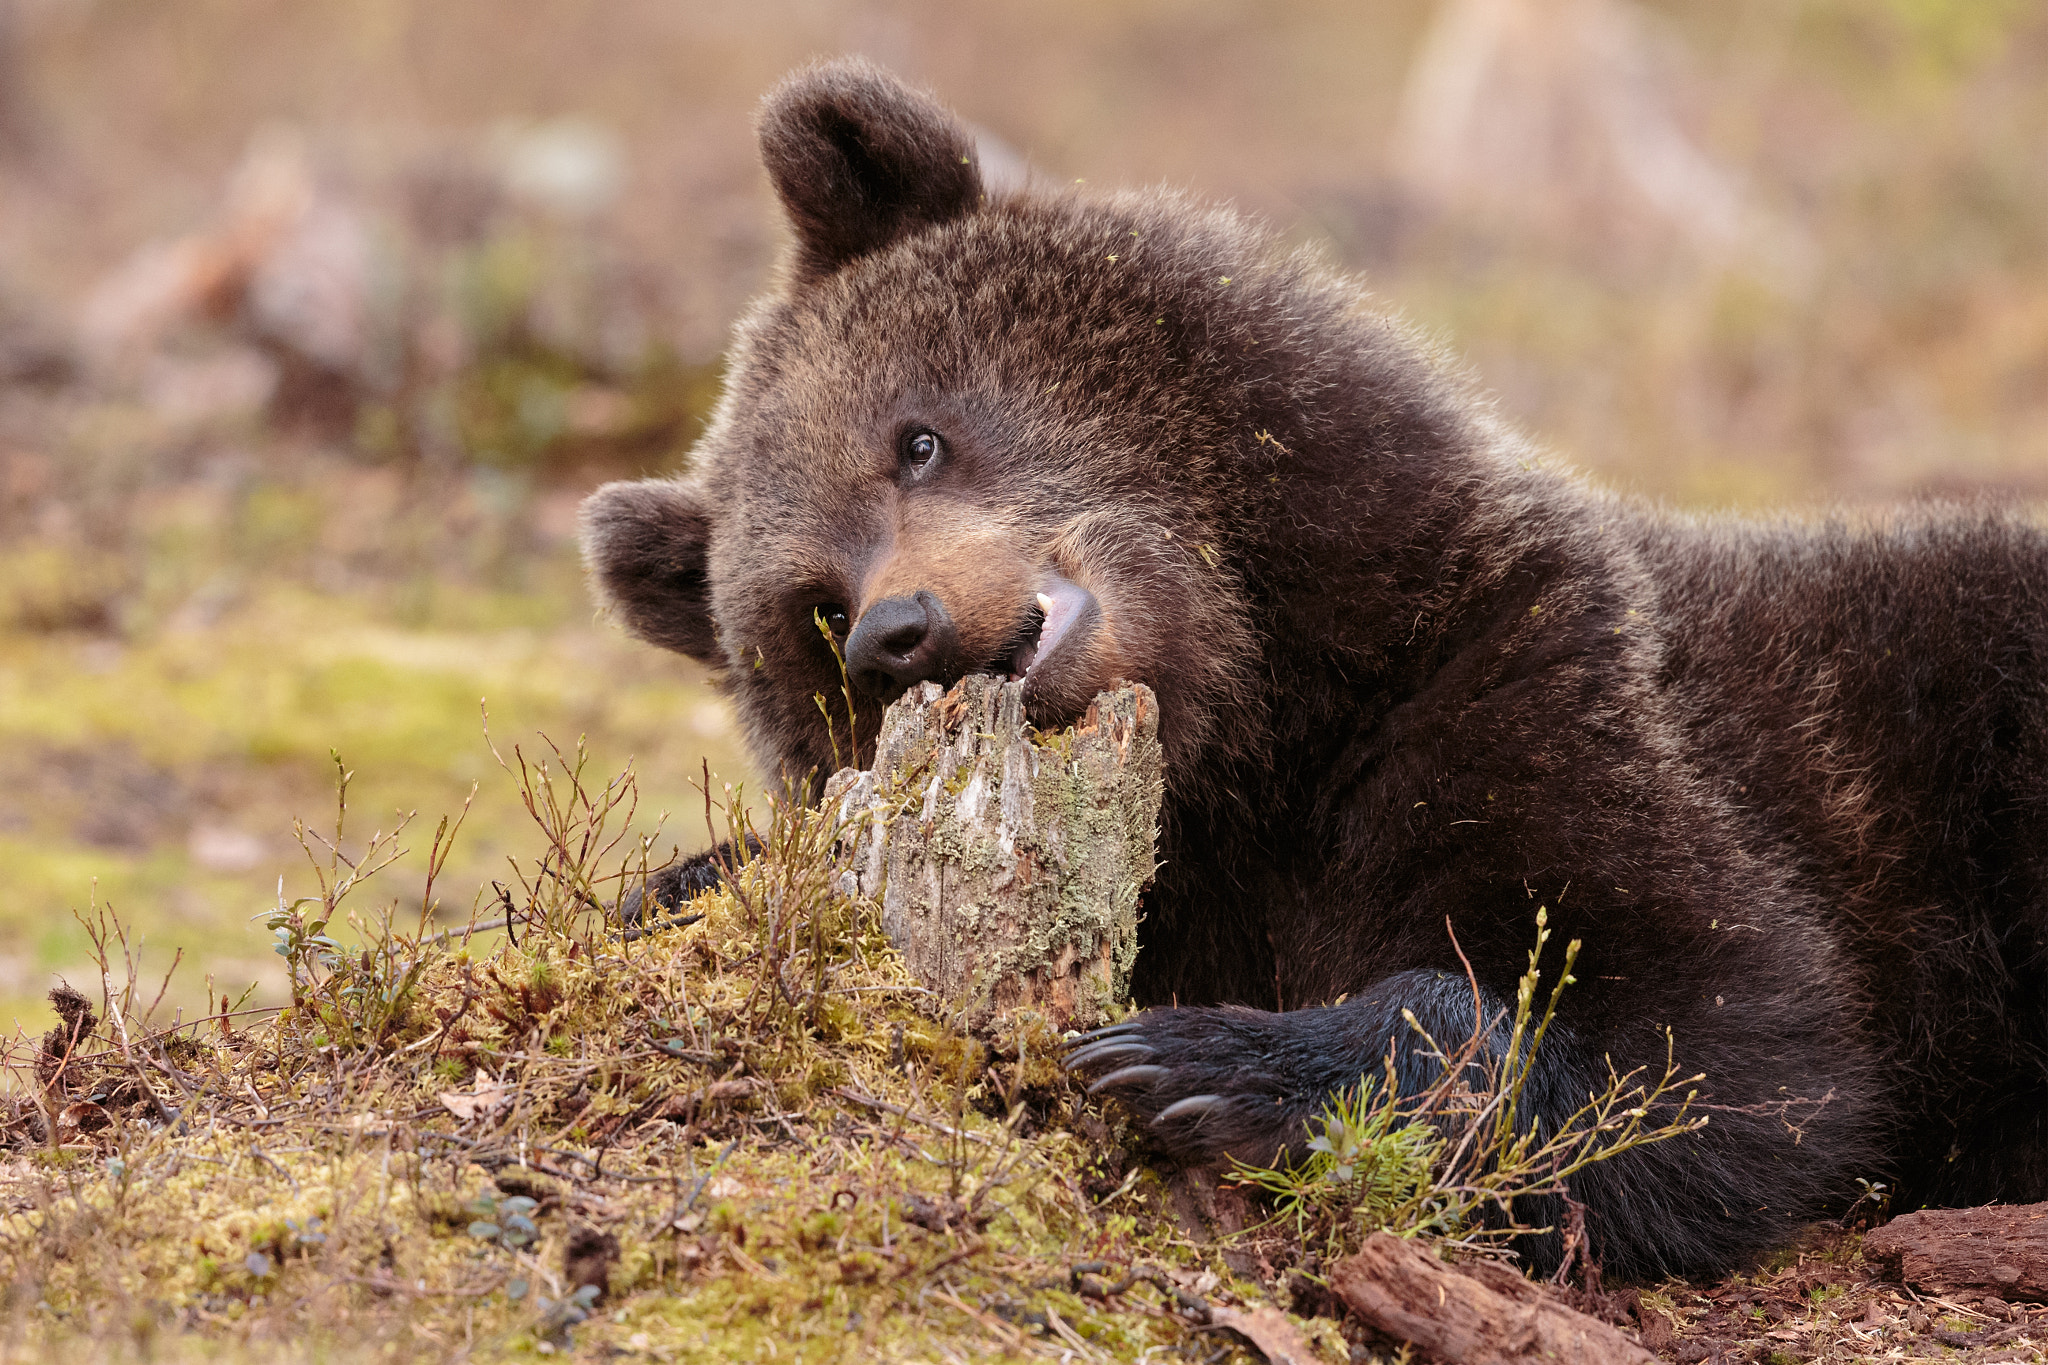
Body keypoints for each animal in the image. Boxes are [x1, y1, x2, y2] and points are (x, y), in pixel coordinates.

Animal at [577, 61, 2048, 1285]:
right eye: (813, 611)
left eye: (916, 438)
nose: (901, 628)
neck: (1252, 727)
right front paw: (674, 880)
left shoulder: (1525, 683)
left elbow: (1715, 1040)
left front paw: (1216, 1063)